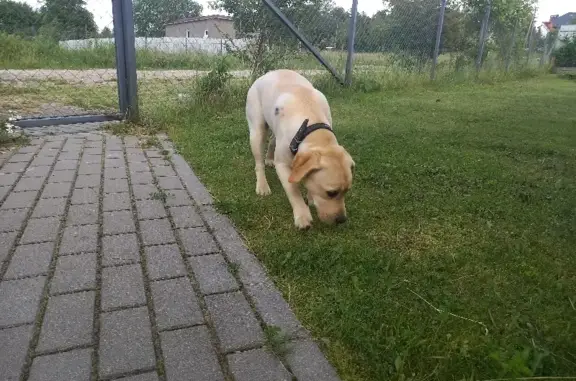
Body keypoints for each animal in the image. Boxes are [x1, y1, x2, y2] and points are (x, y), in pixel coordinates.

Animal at [244, 68, 354, 229]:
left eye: (347, 191)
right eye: (331, 193)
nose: (341, 220)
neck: (310, 125)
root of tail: (269, 72)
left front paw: (311, 197)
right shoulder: (283, 165)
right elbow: (293, 190)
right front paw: (302, 216)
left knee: (272, 141)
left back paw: (269, 158)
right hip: (257, 132)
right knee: (259, 163)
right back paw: (262, 186)